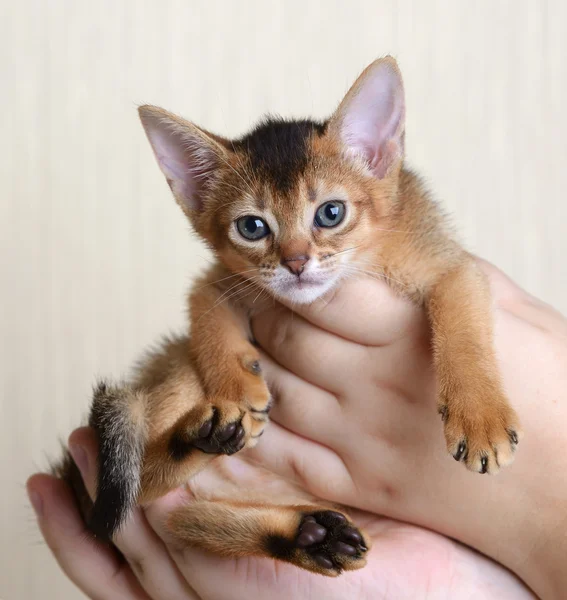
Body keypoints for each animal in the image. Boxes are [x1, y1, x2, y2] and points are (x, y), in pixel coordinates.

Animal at [54, 57, 524, 576]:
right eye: (252, 226)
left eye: (331, 213)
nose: (296, 263)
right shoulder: (218, 282)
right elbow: (205, 314)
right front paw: (236, 388)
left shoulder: (451, 265)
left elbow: (461, 325)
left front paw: (479, 418)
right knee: (136, 492)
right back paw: (209, 439)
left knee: (184, 518)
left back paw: (311, 535)